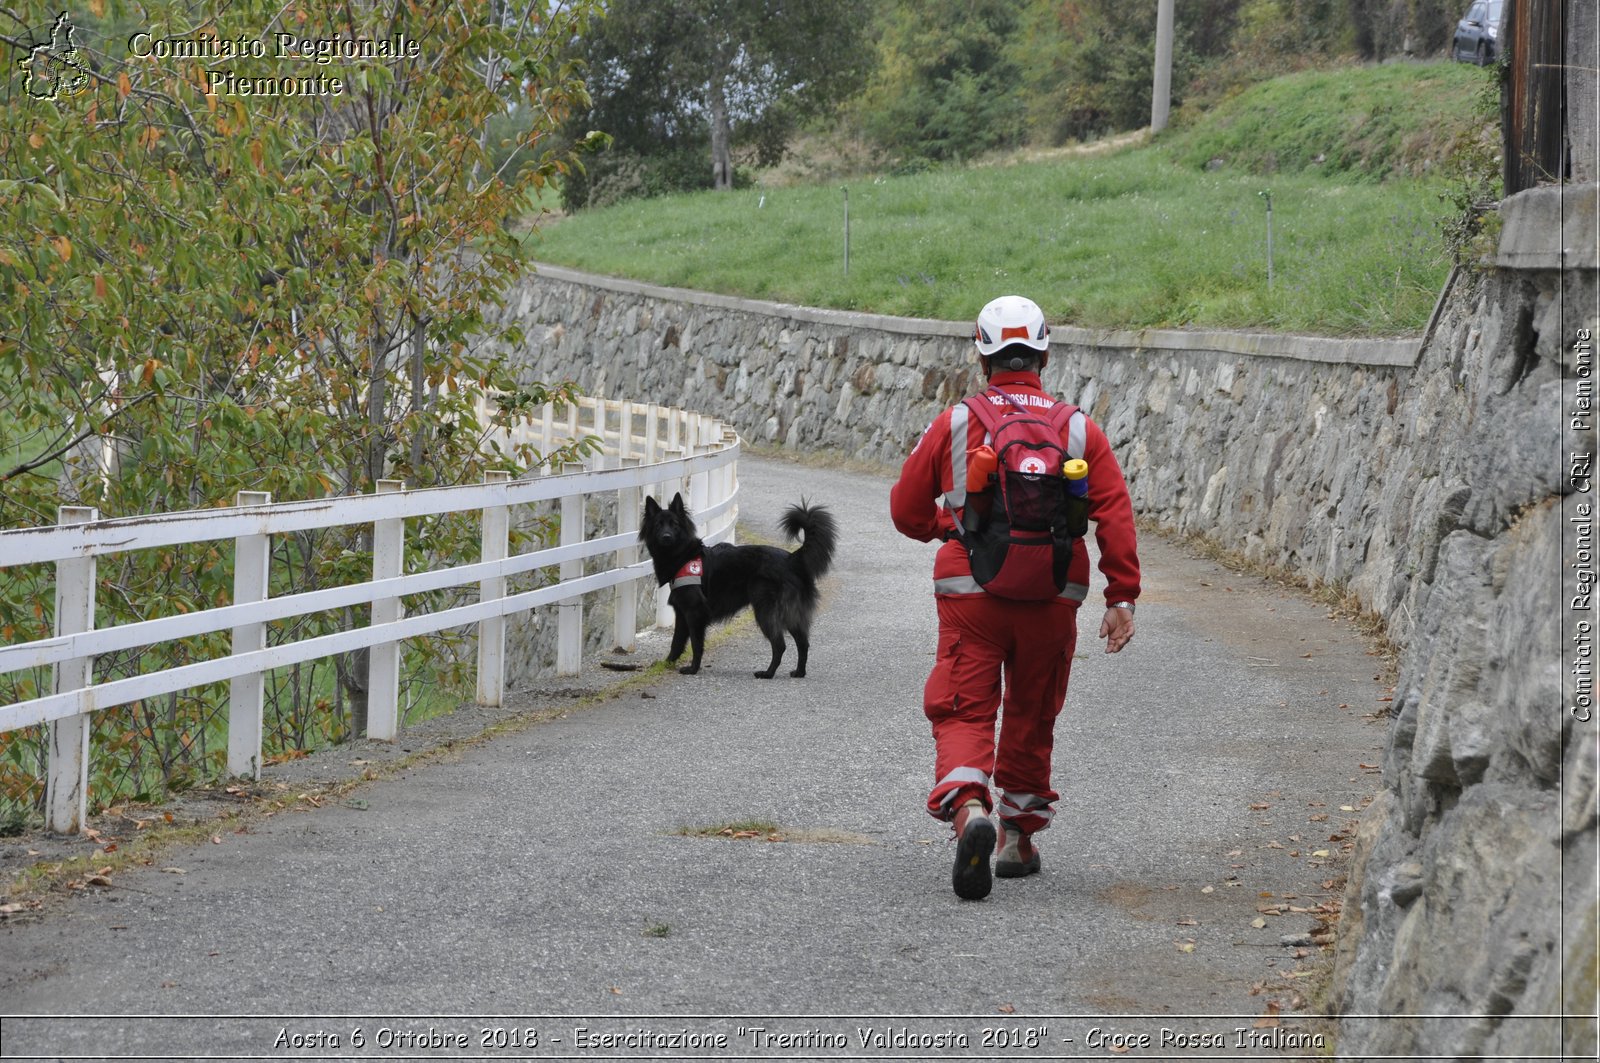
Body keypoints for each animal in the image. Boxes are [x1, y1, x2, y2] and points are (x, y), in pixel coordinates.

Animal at [636, 493, 838, 675]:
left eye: (675, 525)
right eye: (658, 525)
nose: (666, 536)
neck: (683, 555)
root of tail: (792, 559)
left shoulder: (694, 612)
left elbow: (695, 644)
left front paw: (693, 669)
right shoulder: (682, 613)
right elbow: (676, 642)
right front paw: (666, 664)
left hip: (765, 611)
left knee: (779, 645)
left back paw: (768, 673)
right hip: (790, 613)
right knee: (803, 643)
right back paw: (799, 672)